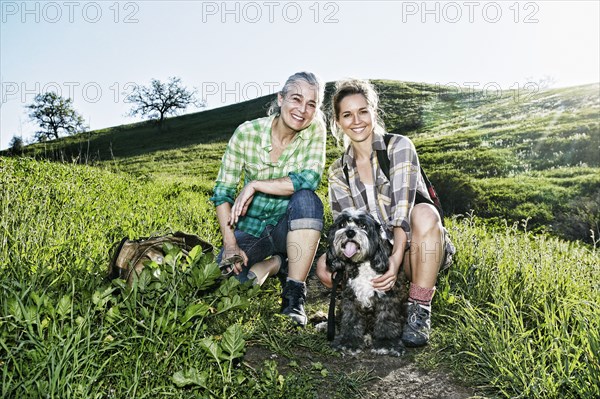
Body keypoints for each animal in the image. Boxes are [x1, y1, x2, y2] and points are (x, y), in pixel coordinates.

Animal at [326, 209, 406, 356]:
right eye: (342, 224)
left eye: (363, 226)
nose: (350, 232)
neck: (362, 263)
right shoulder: (350, 298)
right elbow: (350, 320)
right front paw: (348, 341)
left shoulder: (387, 297)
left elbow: (386, 320)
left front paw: (386, 343)